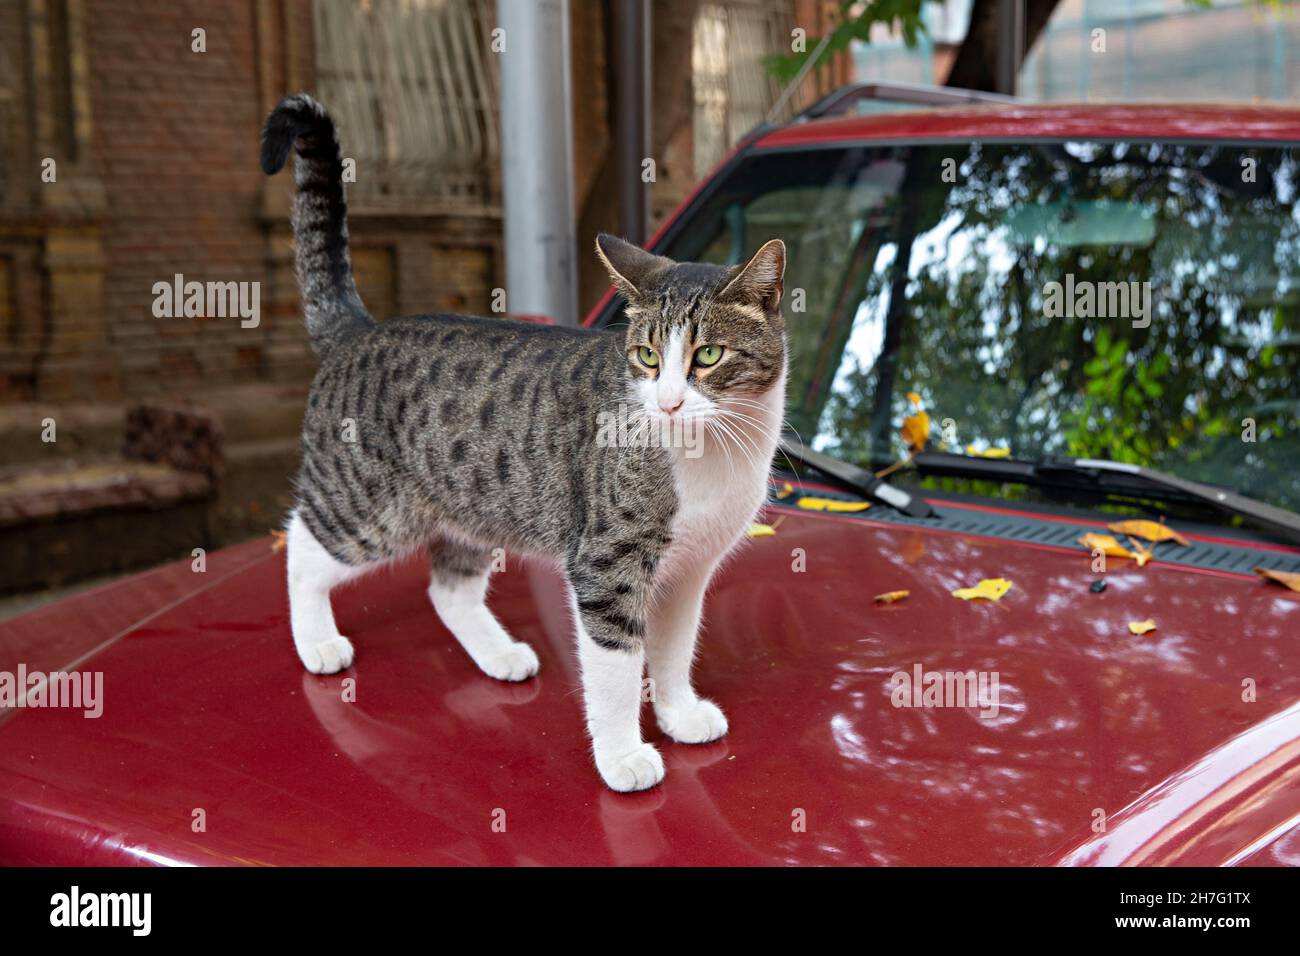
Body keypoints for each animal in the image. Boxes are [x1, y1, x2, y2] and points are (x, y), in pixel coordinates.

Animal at [253, 93, 780, 790]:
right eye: (646, 357)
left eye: (709, 356)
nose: (668, 400)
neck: (712, 453)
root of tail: (357, 331)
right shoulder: (608, 563)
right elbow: (617, 668)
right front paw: (623, 757)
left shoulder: (689, 569)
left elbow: (672, 650)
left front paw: (678, 715)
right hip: (368, 508)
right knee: (303, 546)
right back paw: (316, 640)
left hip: (472, 506)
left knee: (447, 588)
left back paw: (499, 655)